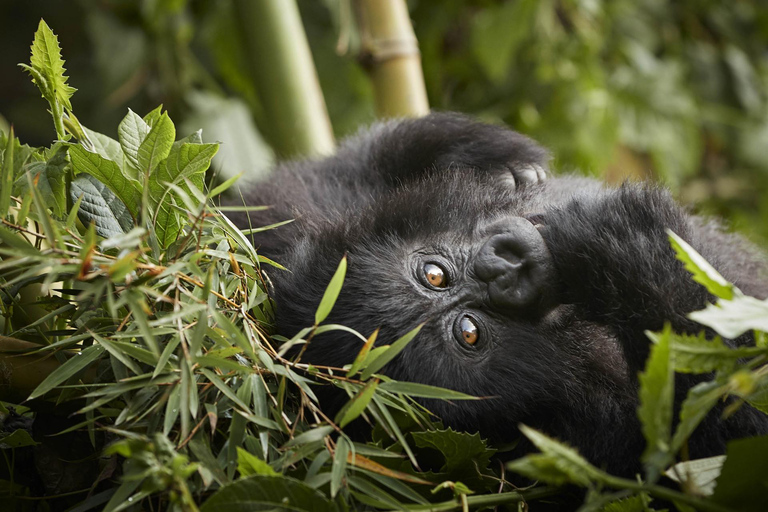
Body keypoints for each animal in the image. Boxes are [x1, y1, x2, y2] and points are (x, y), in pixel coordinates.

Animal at [228, 112, 768, 476]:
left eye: (434, 275)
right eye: (469, 333)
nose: (509, 269)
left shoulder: (296, 212)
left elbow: (354, 162)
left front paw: (484, 159)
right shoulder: (595, 444)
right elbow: (723, 428)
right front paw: (626, 250)